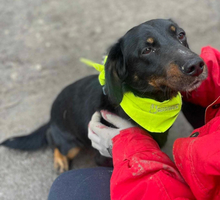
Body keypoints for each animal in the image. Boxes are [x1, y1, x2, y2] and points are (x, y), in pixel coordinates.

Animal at [0, 18, 206, 172]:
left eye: (181, 35)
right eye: (147, 50)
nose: (197, 65)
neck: (150, 103)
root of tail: (51, 117)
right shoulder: (102, 159)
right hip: (70, 144)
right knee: (53, 140)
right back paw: (60, 161)